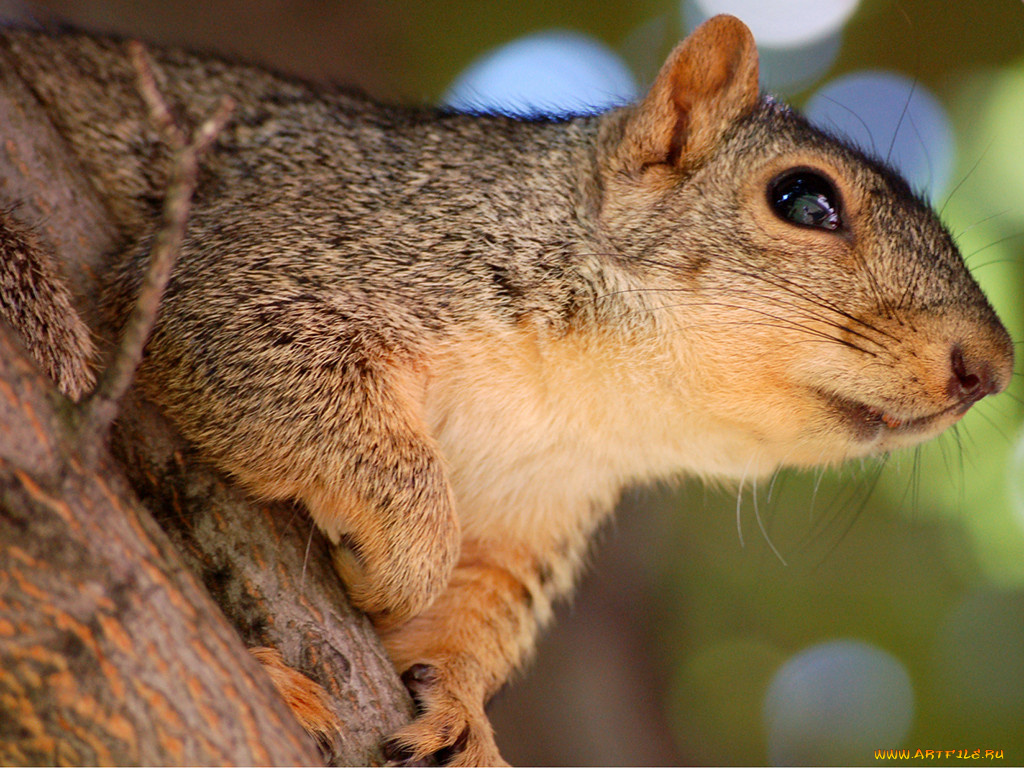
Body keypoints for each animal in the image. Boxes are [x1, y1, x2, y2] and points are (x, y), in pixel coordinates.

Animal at [0, 13, 1011, 768]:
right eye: (803, 199)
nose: (992, 368)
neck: (590, 397)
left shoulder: (539, 512)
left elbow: (473, 613)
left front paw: (460, 709)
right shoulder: (288, 257)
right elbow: (285, 375)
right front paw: (396, 560)